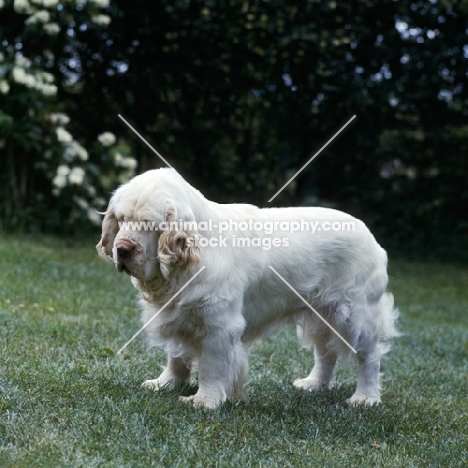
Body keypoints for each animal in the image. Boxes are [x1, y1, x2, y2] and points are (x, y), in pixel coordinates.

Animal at [96, 169, 398, 410]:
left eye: (149, 224)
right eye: (121, 219)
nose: (122, 249)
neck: (188, 263)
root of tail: (372, 238)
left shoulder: (219, 326)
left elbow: (211, 367)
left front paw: (204, 401)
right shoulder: (177, 312)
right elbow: (176, 356)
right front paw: (166, 383)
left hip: (354, 315)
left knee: (369, 357)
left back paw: (366, 397)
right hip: (320, 314)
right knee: (326, 352)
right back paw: (314, 383)